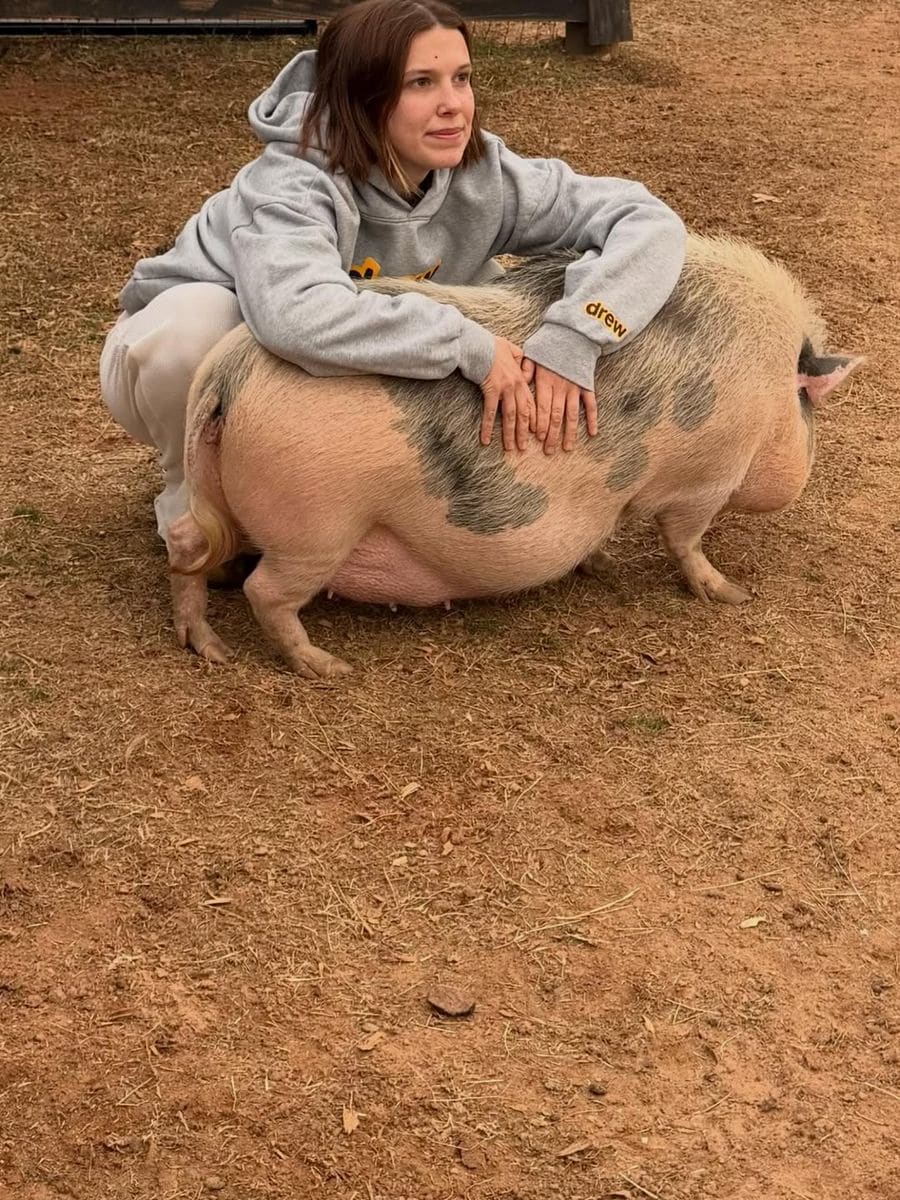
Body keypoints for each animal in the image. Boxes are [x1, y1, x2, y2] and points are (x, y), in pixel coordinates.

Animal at [166, 234, 864, 677]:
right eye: (811, 413)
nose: (806, 467)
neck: (771, 383)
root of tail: (228, 375)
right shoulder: (705, 479)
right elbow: (685, 540)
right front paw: (732, 595)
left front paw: (602, 563)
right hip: (317, 525)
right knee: (265, 592)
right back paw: (326, 668)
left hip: (226, 503)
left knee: (186, 545)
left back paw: (207, 647)